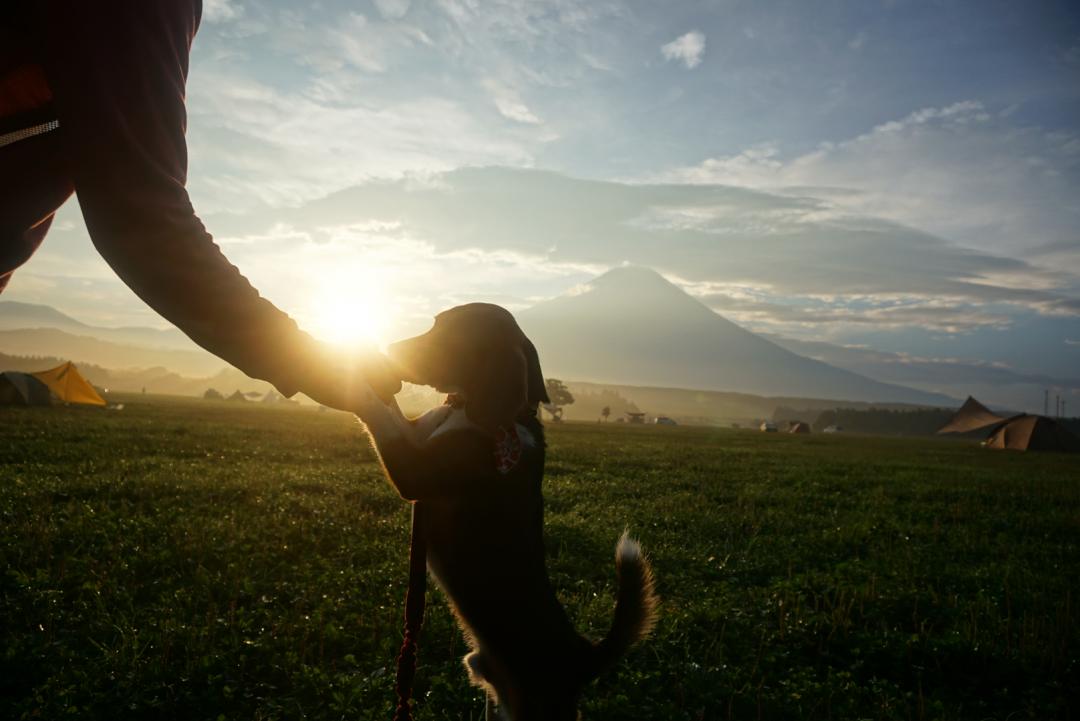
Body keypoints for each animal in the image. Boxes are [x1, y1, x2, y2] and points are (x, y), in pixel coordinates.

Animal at [354, 304, 656, 721]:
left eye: (451, 335)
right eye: (435, 322)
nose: (389, 349)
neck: (501, 418)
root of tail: (581, 656)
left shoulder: (412, 471)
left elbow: (377, 409)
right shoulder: (419, 436)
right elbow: (396, 414)